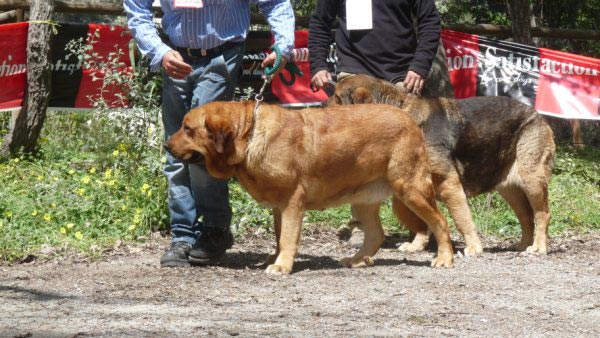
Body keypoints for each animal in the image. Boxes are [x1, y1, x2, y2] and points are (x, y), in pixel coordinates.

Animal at [166, 100, 452, 274]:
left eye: (187, 128)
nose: (167, 145)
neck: (249, 135)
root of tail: (411, 121)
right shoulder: (279, 207)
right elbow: (279, 237)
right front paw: (277, 258)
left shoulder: (292, 201)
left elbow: (288, 237)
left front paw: (281, 266)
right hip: (363, 198)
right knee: (376, 234)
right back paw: (356, 260)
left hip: (411, 189)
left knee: (439, 222)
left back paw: (444, 258)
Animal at [330, 73, 556, 254]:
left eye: (338, 98)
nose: (322, 108)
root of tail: (538, 115)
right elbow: (422, 221)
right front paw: (417, 245)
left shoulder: (449, 184)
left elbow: (462, 219)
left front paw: (473, 248)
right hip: (509, 188)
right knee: (526, 216)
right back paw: (523, 245)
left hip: (531, 180)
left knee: (542, 214)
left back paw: (538, 247)